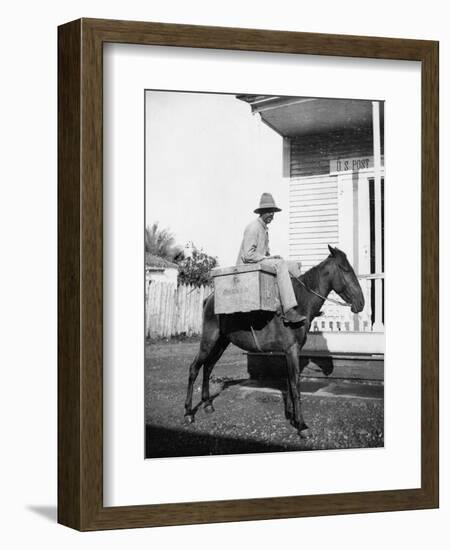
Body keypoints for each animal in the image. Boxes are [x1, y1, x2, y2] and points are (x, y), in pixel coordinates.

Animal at [185, 246, 364, 440]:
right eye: (345, 269)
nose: (361, 303)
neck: (300, 303)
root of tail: (209, 298)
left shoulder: (289, 352)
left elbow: (289, 382)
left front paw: (292, 416)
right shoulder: (292, 350)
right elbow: (295, 384)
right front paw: (301, 425)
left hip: (221, 342)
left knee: (208, 367)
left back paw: (207, 404)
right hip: (209, 340)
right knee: (195, 368)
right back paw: (188, 413)